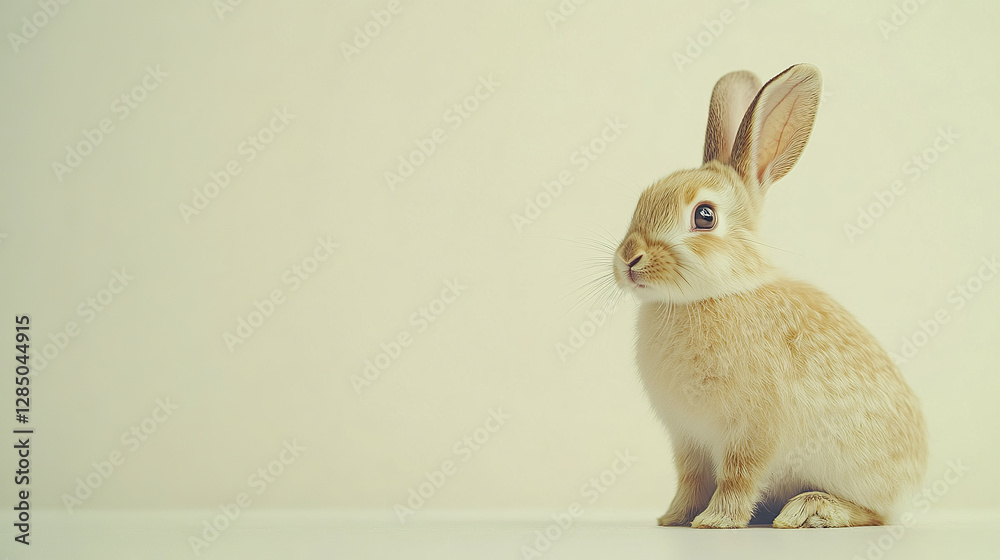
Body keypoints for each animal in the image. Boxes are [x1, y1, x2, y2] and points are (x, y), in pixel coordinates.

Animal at [612, 64, 927, 528]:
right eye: (641, 201)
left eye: (704, 216)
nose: (629, 259)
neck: (709, 297)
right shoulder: (688, 440)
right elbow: (691, 481)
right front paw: (674, 518)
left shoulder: (753, 431)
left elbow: (738, 477)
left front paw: (716, 521)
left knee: (876, 514)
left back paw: (808, 510)